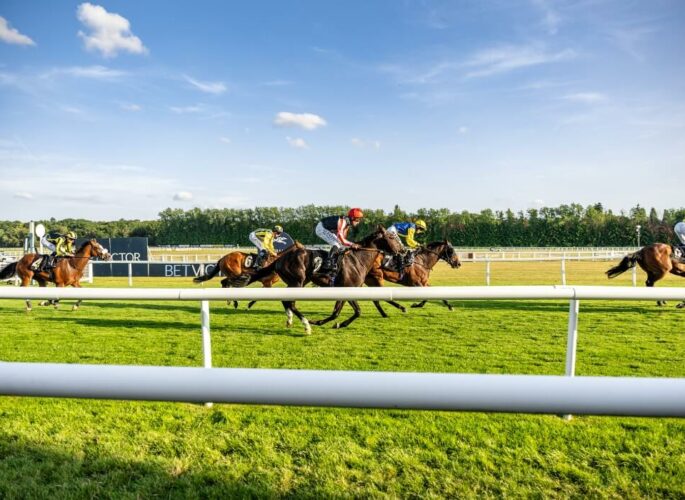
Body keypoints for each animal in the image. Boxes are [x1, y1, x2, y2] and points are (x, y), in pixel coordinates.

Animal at [248, 228, 404, 336]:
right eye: (392, 237)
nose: (403, 250)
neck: (358, 260)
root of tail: (279, 259)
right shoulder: (348, 288)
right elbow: (357, 311)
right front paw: (317, 322)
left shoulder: (343, 290)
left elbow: (338, 313)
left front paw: (334, 324)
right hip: (297, 282)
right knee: (291, 303)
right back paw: (306, 325)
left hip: (299, 282)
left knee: (286, 301)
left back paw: (290, 320)